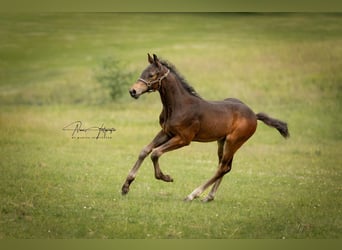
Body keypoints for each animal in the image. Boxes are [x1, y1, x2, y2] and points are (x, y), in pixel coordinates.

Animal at [121, 53, 288, 202]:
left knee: (222, 168)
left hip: (234, 141)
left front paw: (166, 177)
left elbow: (155, 153)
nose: (133, 91)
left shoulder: (183, 139)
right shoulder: (166, 132)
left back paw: (192, 195)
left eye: (151, 75)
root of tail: (254, 115)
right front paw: (126, 186)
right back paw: (209, 196)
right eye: (143, 73)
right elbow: (145, 151)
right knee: (225, 167)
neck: (178, 105)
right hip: (222, 141)